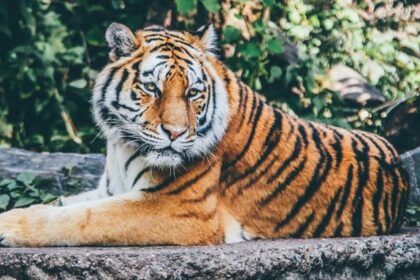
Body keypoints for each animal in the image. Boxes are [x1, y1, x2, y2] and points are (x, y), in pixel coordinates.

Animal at [0, 23, 408, 246]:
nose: (176, 133)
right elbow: (64, 204)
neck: (123, 145)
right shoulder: (110, 190)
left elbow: (79, 218)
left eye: (193, 92)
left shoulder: (180, 208)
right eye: (152, 88)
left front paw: (9, 225)